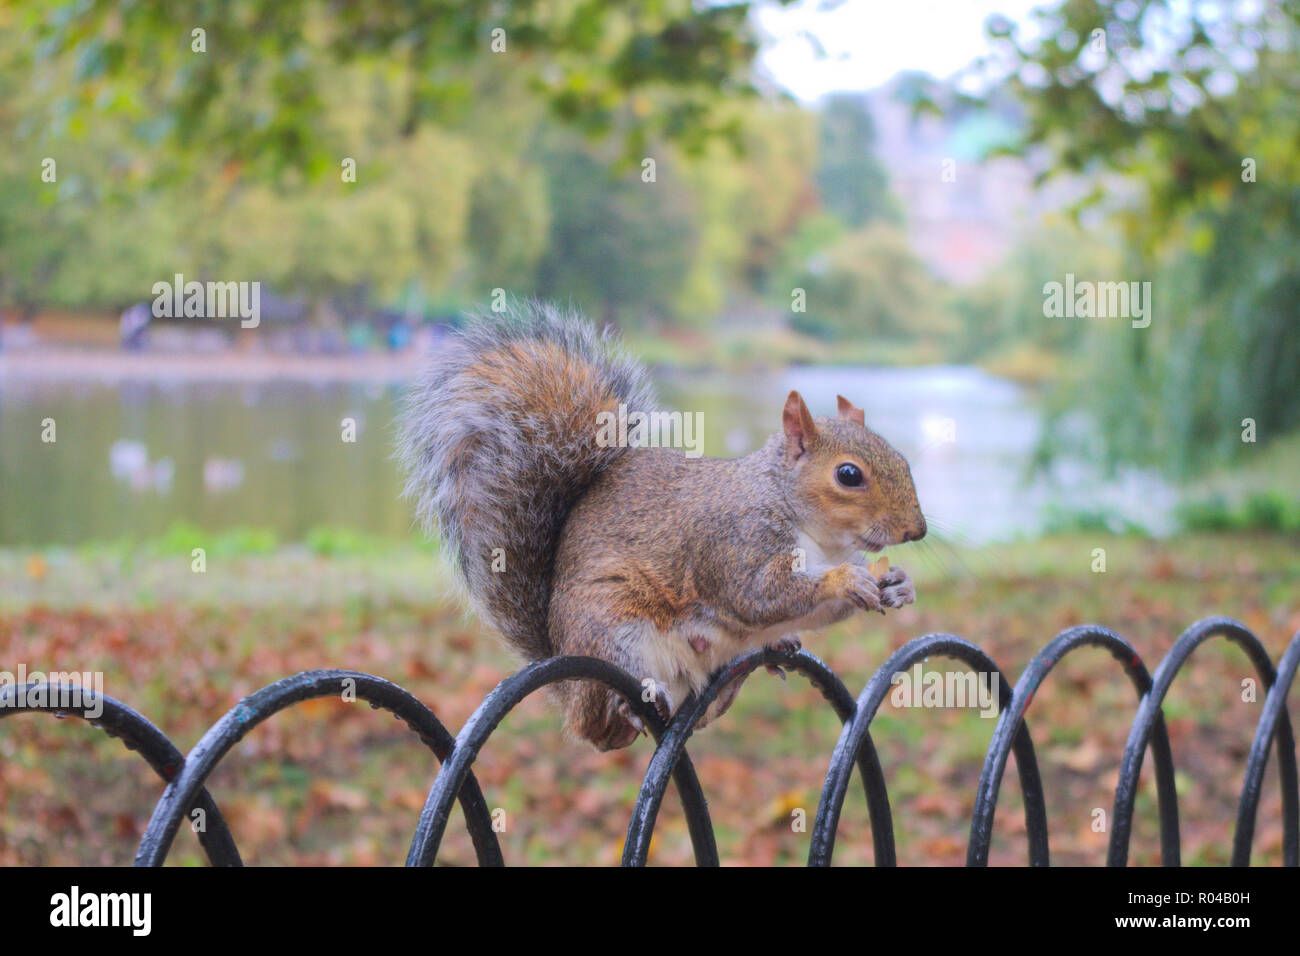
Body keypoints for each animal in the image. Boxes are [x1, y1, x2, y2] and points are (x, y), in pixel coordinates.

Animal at [395, 303, 925, 749]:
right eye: (849, 475)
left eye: (900, 457)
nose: (916, 531)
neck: (818, 537)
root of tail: (573, 696)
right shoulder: (735, 543)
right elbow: (758, 595)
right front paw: (845, 580)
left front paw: (898, 584)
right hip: (611, 627)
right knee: (610, 719)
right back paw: (632, 708)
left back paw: (769, 652)